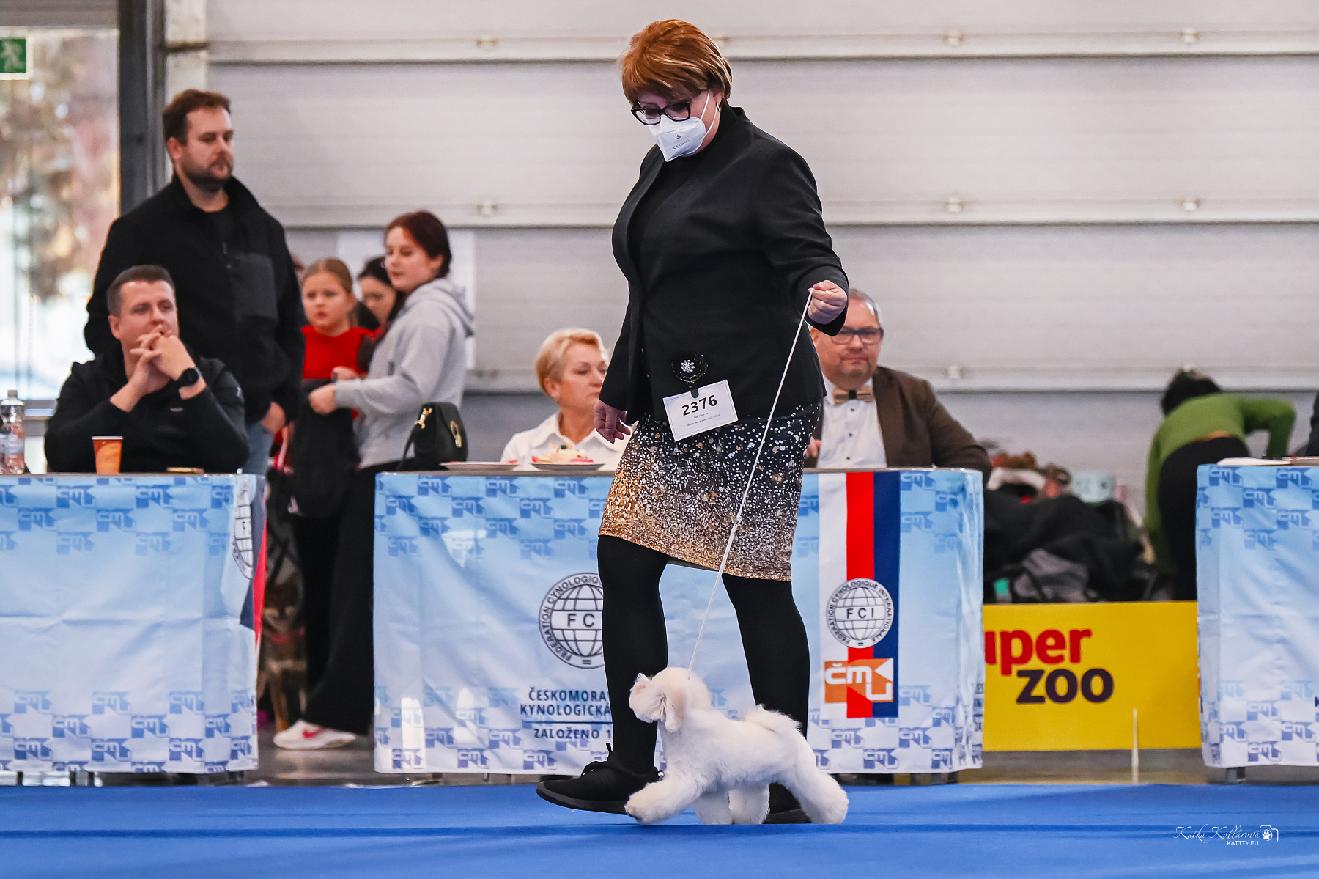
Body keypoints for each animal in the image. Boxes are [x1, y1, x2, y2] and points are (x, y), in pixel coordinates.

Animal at [625, 667, 849, 825]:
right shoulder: (709, 790)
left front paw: (636, 809)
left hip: (802, 772)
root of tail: (791, 730)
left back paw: (835, 814)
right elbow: (714, 811)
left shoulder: (686, 779)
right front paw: (719, 823)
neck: (685, 728)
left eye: (649, 688)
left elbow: (660, 797)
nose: (638, 681)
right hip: (753, 781)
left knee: (823, 791)